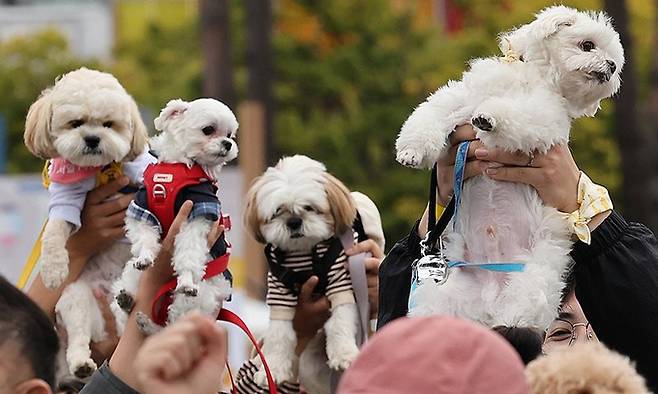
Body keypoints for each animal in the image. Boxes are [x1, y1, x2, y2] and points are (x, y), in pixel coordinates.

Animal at [23, 67, 151, 378]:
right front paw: (54, 269)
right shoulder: (65, 196)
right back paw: (82, 364)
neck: (99, 170)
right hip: (76, 298)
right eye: (75, 123)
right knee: (80, 337)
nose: (92, 139)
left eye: (109, 124)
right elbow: (54, 231)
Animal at [111, 98, 237, 336]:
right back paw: (128, 302)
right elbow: (144, 236)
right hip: (133, 277)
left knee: (173, 326)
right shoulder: (143, 207)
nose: (228, 144)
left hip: (200, 296)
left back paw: (148, 324)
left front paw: (186, 279)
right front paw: (145, 257)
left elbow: (189, 250)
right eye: (209, 130)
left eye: (230, 134)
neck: (178, 165)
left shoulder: (198, 209)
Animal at [243, 155, 382, 386]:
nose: (294, 222)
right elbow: (279, 334)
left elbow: (340, 321)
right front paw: (273, 369)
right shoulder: (280, 292)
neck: (305, 253)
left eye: (309, 208)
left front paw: (343, 355)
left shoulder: (340, 281)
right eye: (278, 211)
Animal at [394, 7, 620, 330]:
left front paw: (490, 118)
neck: (536, 78)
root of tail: (488, 302)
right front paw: (412, 149)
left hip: (535, 280)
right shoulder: (462, 98)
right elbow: (432, 112)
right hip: (441, 292)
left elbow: (516, 113)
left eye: (615, 60)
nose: (612, 66)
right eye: (587, 45)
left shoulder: (543, 115)